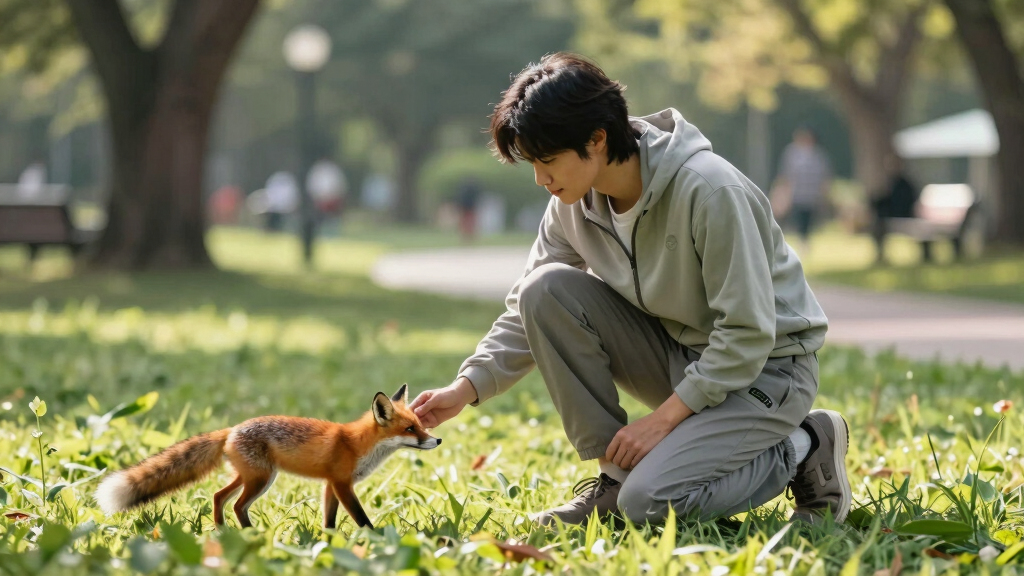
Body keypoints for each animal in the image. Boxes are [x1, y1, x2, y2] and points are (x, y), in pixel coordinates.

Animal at [94, 384, 439, 530]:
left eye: (421, 425)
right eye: (410, 428)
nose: (436, 439)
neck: (357, 445)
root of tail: (232, 429)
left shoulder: (331, 484)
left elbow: (329, 521)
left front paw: (327, 543)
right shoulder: (343, 484)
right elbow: (361, 518)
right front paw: (376, 540)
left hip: (251, 476)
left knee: (219, 497)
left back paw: (226, 532)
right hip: (261, 479)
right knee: (235, 504)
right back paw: (244, 535)